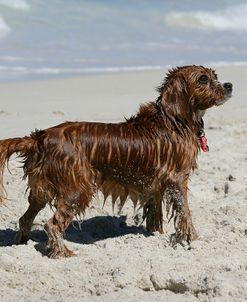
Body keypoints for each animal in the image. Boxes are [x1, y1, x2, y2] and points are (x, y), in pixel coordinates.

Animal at [0, 65, 232, 258]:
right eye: (203, 79)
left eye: (215, 76)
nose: (229, 85)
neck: (174, 119)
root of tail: (40, 137)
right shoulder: (177, 180)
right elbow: (185, 214)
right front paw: (193, 239)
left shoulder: (156, 187)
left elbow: (155, 216)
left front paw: (157, 235)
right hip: (78, 188)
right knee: (52, 225)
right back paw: (63, 253)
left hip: (43, 188)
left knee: (26, 217)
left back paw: (21, 244)